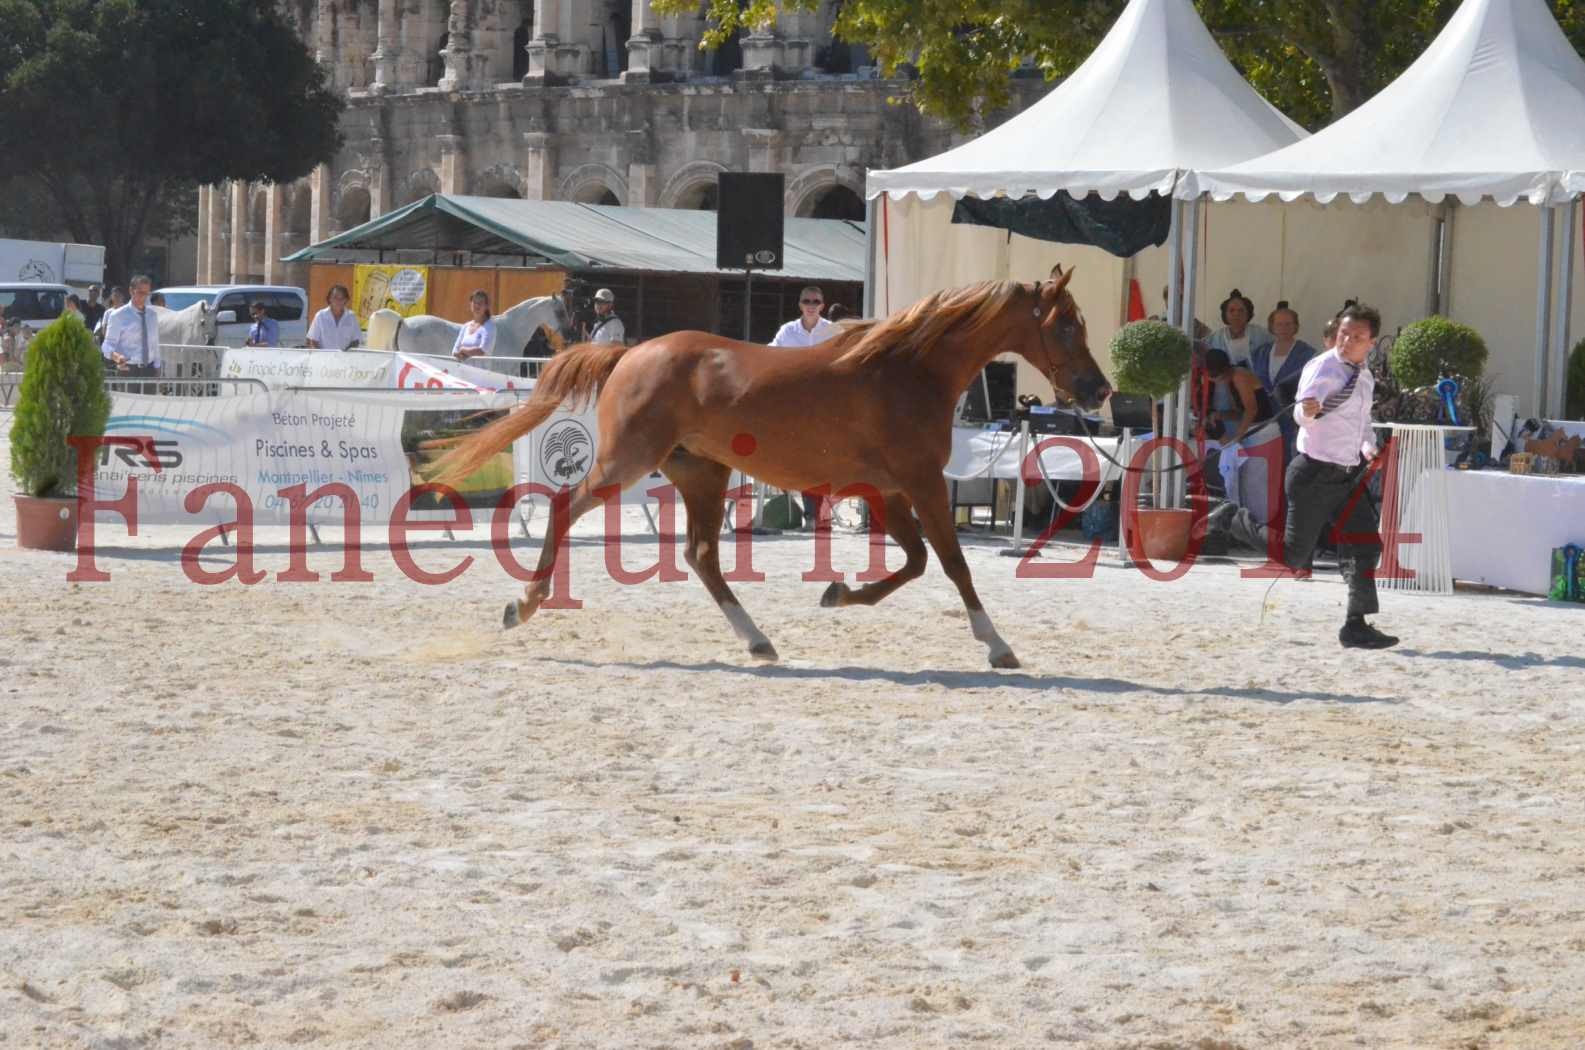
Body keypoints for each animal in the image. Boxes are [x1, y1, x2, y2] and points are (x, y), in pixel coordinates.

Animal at [434, 268, 1103, 669]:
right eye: (1067, 325)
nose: (1098, 390)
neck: (907, 370)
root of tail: (631, 352)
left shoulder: (887, 491)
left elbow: (914, 564)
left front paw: (839, 593)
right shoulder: (920, 484)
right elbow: (952, 564)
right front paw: (997, 645)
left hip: (700, 475)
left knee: (702, 555)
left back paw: (757, 640)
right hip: (628, 461)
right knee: (564, 509)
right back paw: (524, 604)